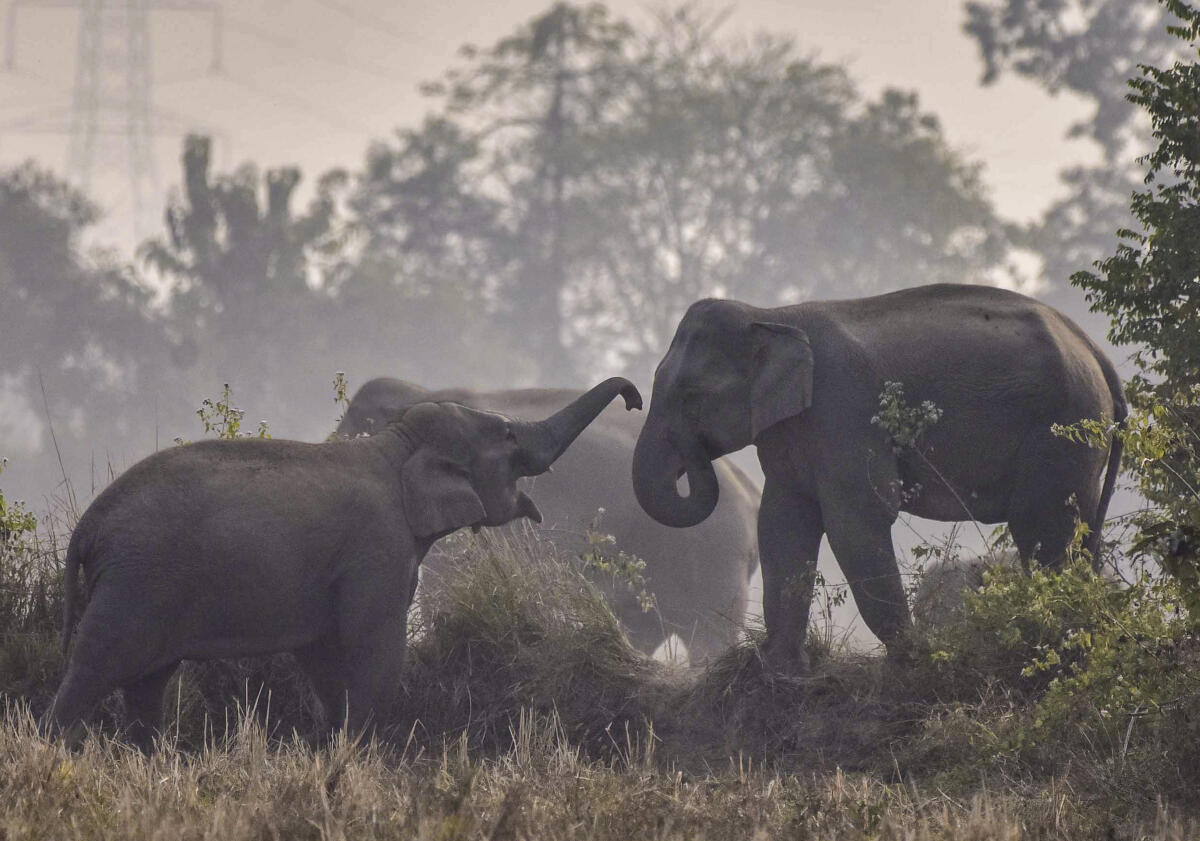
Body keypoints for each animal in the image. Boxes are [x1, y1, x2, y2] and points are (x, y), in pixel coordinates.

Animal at [41, 377, 641, 751]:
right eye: (509, 436)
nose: (635, 400)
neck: (395, 445)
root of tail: (87, 527)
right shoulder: (378, 549)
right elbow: (374, 646)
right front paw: (359, 753)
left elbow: (324, 655)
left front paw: (333, 747)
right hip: (136, 582)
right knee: (96, 666)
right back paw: (50, 748)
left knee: (147, 682)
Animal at [632, 283, 1126, 671]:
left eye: (690, 396)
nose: (628, 397)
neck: (772, 317)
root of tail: (1096, 352)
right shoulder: (790, 430)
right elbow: (783, 524)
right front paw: (781, 669)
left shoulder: (843, 409)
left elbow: (858, 522)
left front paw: (911, 660)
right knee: (1076, 533)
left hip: (1063, 428)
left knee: (1043, 529)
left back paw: (1057, 639)